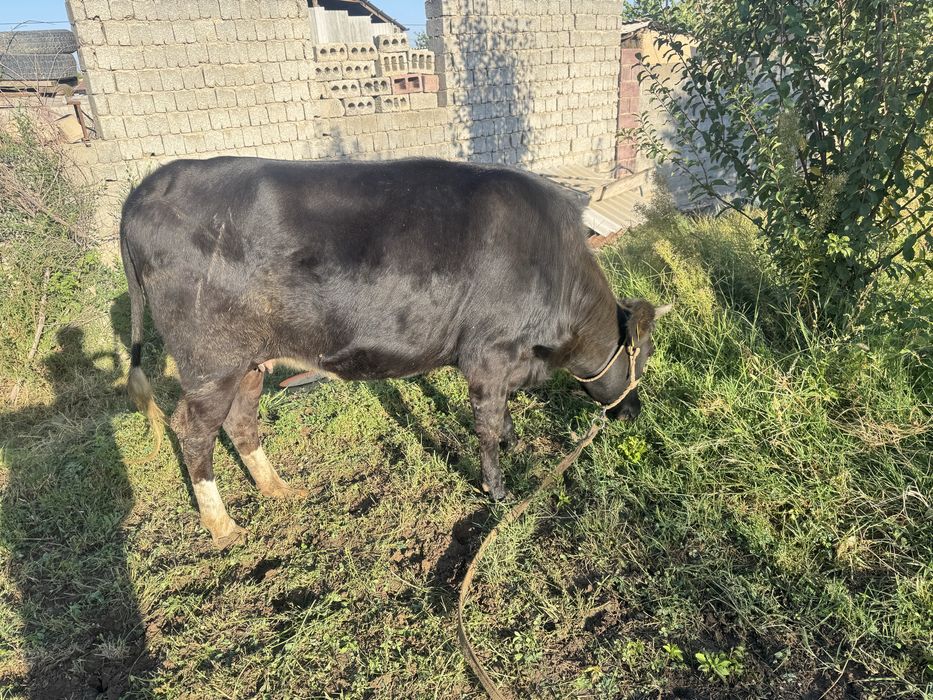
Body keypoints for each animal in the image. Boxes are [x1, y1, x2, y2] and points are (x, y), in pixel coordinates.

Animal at [120, 157, 671, 548]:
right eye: (642, 356)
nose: (635, 411)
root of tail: (146, 187)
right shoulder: (489, 355)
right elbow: (487, 425)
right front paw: (498, 491)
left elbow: (503, 417)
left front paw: (514, 444)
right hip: (210, 364)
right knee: (194, 431)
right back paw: (222, 525)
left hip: (250, 362)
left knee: (240, 421)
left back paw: (278, 488)